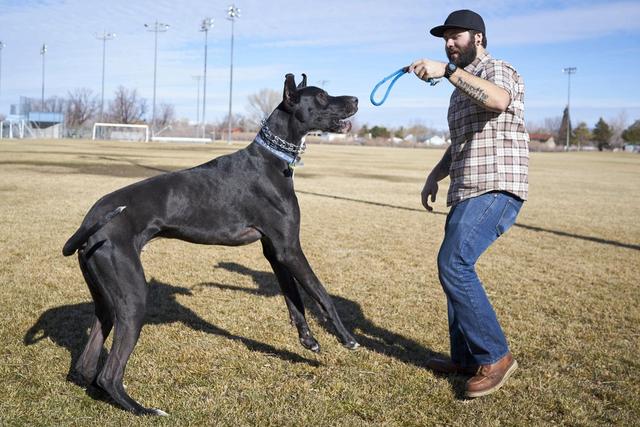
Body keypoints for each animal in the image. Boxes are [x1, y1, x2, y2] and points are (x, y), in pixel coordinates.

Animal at [63, 73, 360, 414]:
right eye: (322, 96)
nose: (356, 100)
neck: (272, 159)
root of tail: (89, 220)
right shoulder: (289, 248)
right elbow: (322, 295)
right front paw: (347, 338)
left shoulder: (276, 252)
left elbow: (294, 299)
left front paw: (308, 340)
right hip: (133, 296)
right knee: (108, 375)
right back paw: (144, 409)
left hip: (106, 297)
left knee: (87, 366)